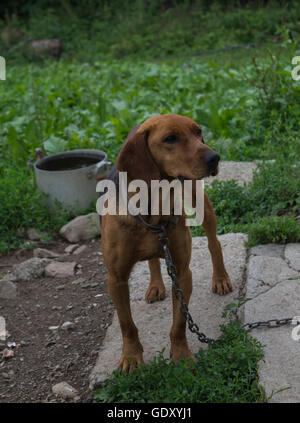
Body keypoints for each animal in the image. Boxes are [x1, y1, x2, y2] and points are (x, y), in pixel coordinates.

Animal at [101, 114, 232, 372]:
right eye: (170, 138)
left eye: (198, 131)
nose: (215, 157)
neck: (153, 208)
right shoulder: (116, 279)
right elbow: (126, 324)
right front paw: (131, 357)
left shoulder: (182, 272)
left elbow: (179, 323)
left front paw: (181, 355)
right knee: (153, 260)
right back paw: (156, 285)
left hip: (200, 200)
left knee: (214, 244)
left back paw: (221, 278)